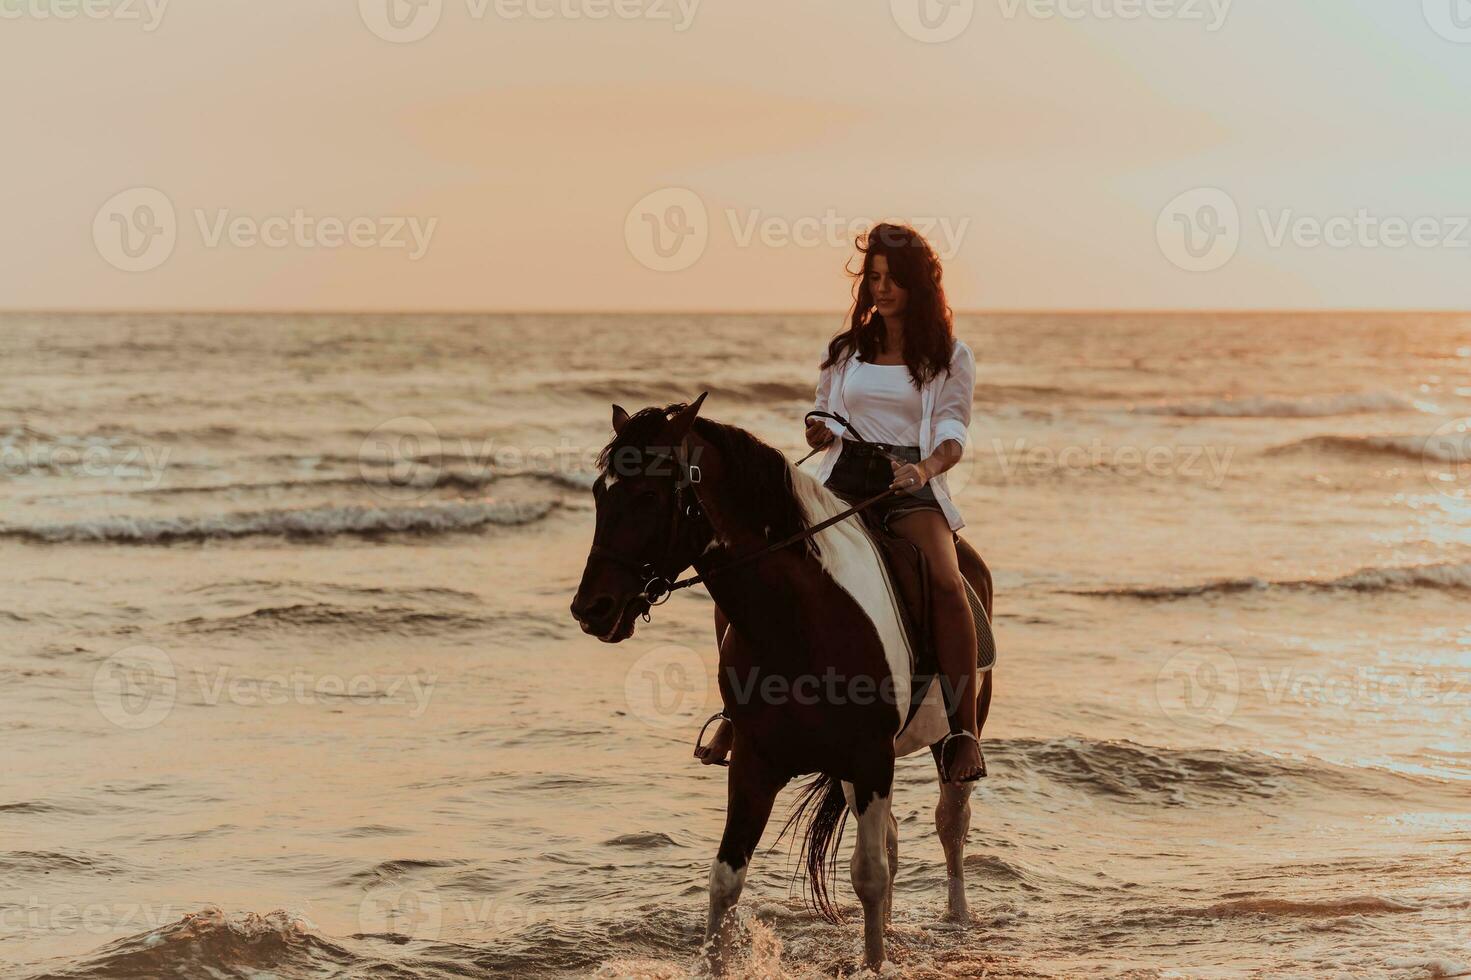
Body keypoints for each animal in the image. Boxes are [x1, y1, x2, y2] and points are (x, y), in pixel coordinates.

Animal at [567, 394, 994, 971]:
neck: (801, 618)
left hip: (943, 743)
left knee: (950, 824)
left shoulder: (870, 756)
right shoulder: (756, 760)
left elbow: (869, 875)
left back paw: (957, 920)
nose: (592, 609)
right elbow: (726, 880)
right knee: (894, 839)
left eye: (650, 495)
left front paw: (873, 965)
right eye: (599, 493)